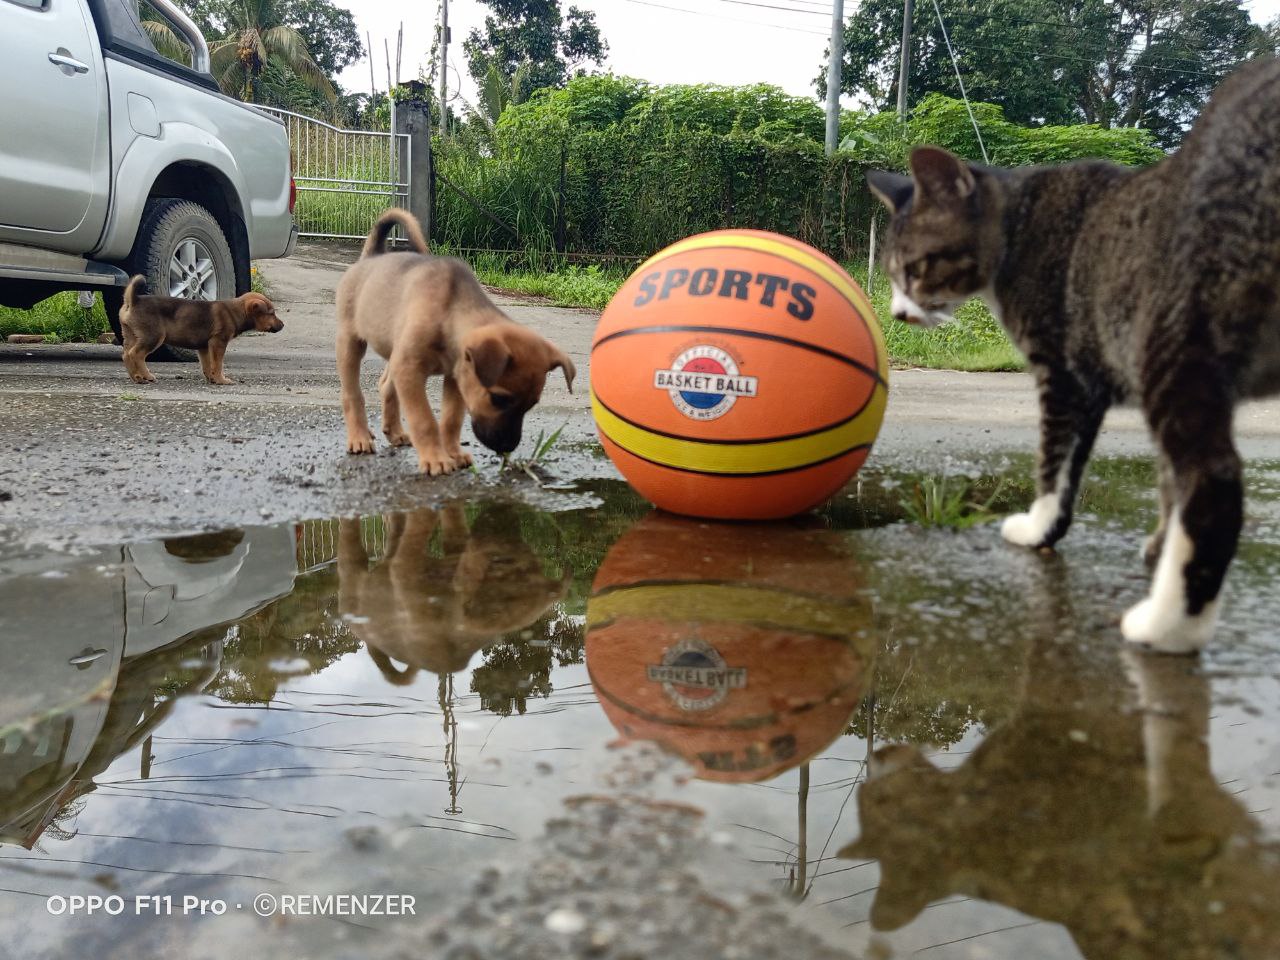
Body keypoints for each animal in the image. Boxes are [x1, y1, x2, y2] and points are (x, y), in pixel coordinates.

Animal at [118, 276, 285, 386]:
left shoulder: (204, 346)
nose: (283, 325)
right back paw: (146, 376)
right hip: (153, 337)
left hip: (130, 335)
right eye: (271, 313)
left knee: (126, 354)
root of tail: (134, 300)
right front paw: (221, 380)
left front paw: (211, 379)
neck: (235, 311)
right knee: (136, 354)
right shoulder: (218, 342)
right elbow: (217, 364)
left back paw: (136, 377)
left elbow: (207, 365)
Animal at [335, 213, 576, 478]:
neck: (448, 313)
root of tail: (372, 257)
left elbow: (451, 419)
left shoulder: (457, 376)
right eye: (498, 399)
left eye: (531, 404)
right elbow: (424, 420)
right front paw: (435, 458)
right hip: (351, 342)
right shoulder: (411, 371)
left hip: (394, 347)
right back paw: (359, 437)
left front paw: (452, 453)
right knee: (352, 394)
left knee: (386, 383)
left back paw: (394, 431)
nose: (507, 447)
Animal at [870, 58, 1280, 655]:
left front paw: (1036, 528)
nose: (898, 314)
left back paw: (1166, 625)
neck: (1018, 222)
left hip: (1171, 339)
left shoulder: (1062, 373)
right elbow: (1150, 477)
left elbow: (1053, 462)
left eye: (915, 268)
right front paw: (1153, 546)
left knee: (1213, 478)